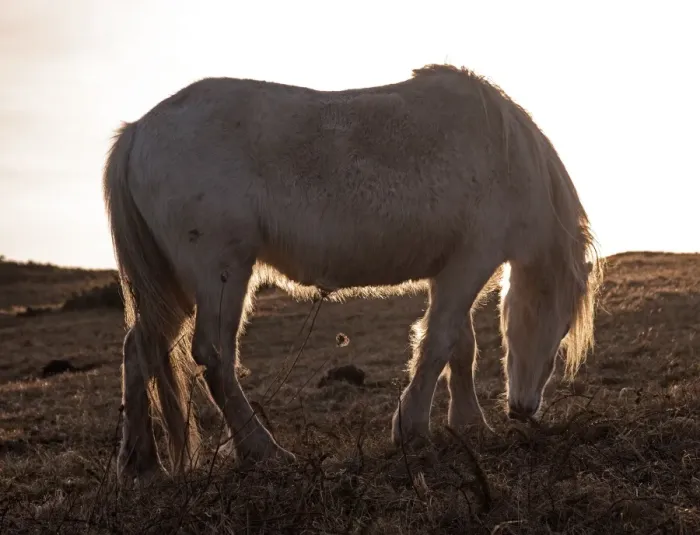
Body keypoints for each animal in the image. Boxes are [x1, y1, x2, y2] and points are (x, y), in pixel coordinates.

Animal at [102, 63, 603, 482]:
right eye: (560, 328)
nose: (524, 409)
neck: (503, 156)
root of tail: (137, 132)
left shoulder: (451, 270)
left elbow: (461, 347)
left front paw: (469, 424)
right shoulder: (470, 264)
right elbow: (438, 343)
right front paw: (412, 428)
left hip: (172, 288)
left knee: (139, 349)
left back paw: (141, 467)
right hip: (219, 275)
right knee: (214, 356)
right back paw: (264, 451)